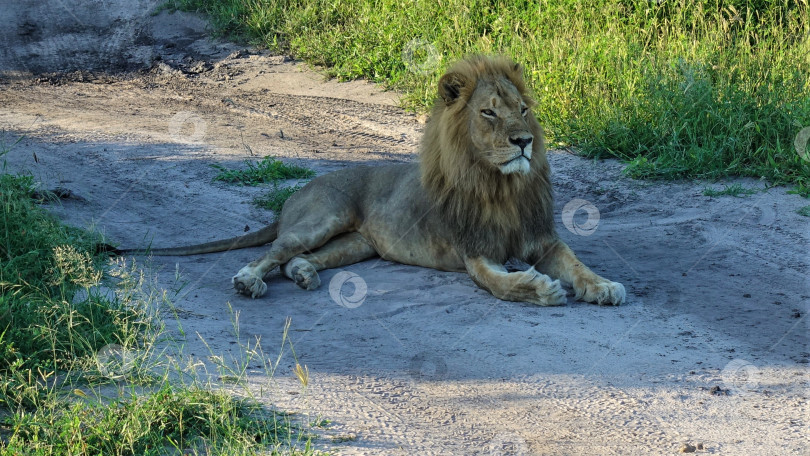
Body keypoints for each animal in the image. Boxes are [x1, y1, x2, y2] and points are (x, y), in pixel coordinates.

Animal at [126, 57, 620, 306]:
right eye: (488, 113)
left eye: (522, 109)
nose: (524, 141)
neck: (502, 186)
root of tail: (296, 192)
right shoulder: (475, 254)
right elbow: (504, 284)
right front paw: (541, 289)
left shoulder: (542, 240)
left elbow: (577, 262)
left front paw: (603, 287)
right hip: (323, 218)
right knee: (273, 253)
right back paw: (249, 281)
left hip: (355, 243)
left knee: (299, 260)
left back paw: (304, 275)